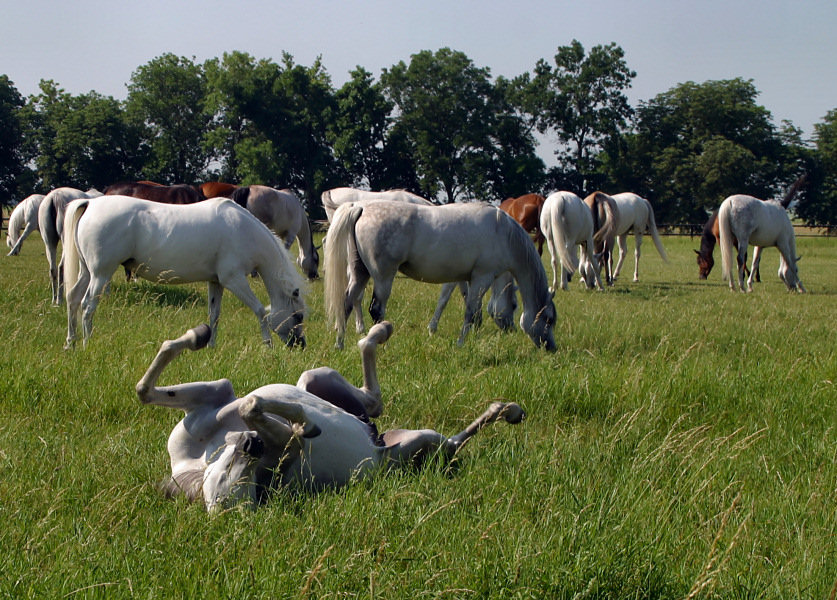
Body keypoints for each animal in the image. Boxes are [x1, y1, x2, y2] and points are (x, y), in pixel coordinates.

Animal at [63, 195, 306, 350]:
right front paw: (268, 346)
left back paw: (70, 343)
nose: (300, 345)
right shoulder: (234, 280)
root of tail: (90, 204)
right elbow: (260, 311)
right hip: (100, 275)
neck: (242, 230)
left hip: (87, 273)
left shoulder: (216, 282)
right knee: (87, 305)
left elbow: (214, 315)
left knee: (73, 299)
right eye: (298, 316)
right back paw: (87, 344)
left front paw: (211, 347)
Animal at [136, 322, 524, 512]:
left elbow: (146, 389)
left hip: (316, 377)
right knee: (449, 440)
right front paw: (306, 424)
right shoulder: (284, 445)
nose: (251, 444)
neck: (201, 462)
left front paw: (196, 335)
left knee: (369, 401)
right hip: (417, 445)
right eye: (244, 488)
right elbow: (260, 409)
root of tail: (380, 441)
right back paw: (505, 411)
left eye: (233, 472)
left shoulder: (213, 400)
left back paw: (380, 330)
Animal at [324, 202, 556, 352]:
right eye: (548, 319)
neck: (503, 233)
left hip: (360, 273)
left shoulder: (465, 278)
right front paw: (461, 343)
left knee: (346, 303)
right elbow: (470, 312)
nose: (551, 348)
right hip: (383, 276)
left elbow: (463, 306)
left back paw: (339, 344)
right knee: (376, 310)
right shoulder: (482, 277)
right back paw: (382, 345)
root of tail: (360, 208)